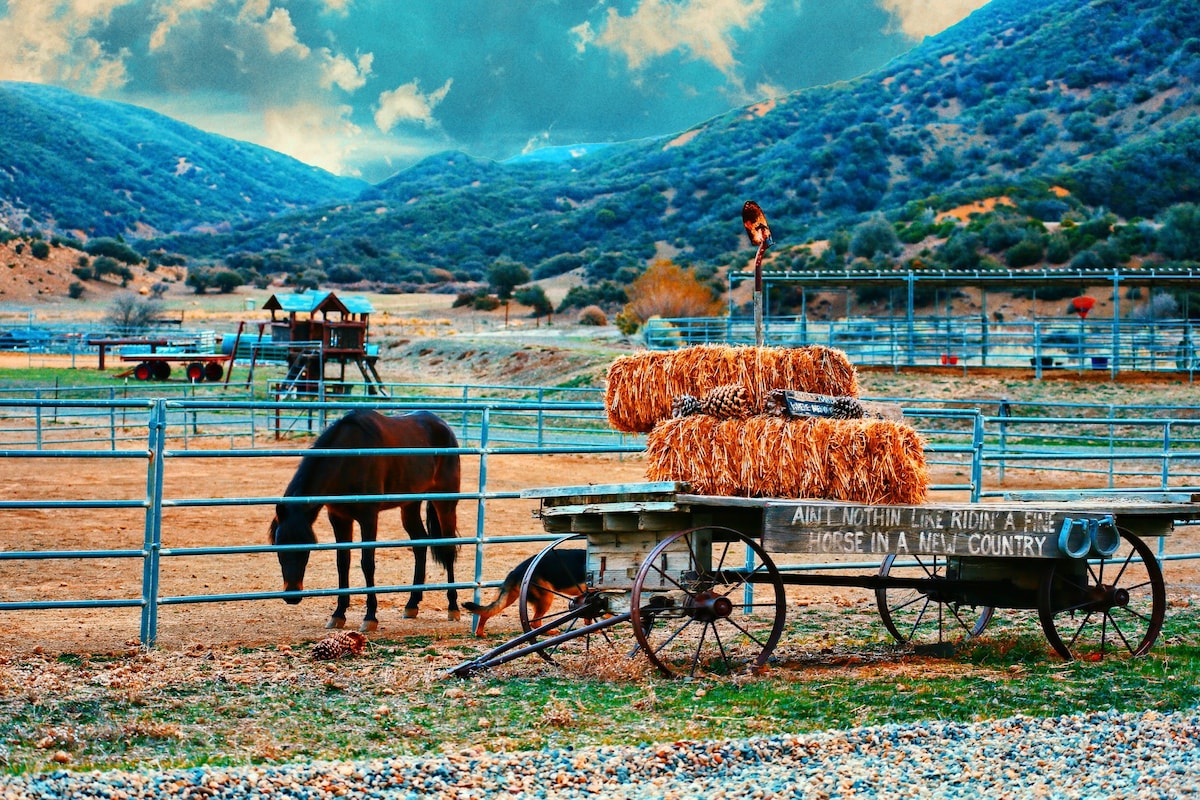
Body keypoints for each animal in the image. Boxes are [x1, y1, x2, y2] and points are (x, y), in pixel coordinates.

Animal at [270, 412, 460, 633]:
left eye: (306, 548)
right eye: (278, 547)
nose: (292, 595)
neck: (347, 458)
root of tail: (442, 425)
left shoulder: (368, 517)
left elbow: (367, 564)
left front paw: (370, 617)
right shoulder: (339, 518)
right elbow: (342, 562)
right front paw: (338, 614)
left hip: (445, 504)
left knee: (448, 549)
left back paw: (453, 607)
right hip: (410, 505)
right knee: (420, 544)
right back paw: (412, 604)